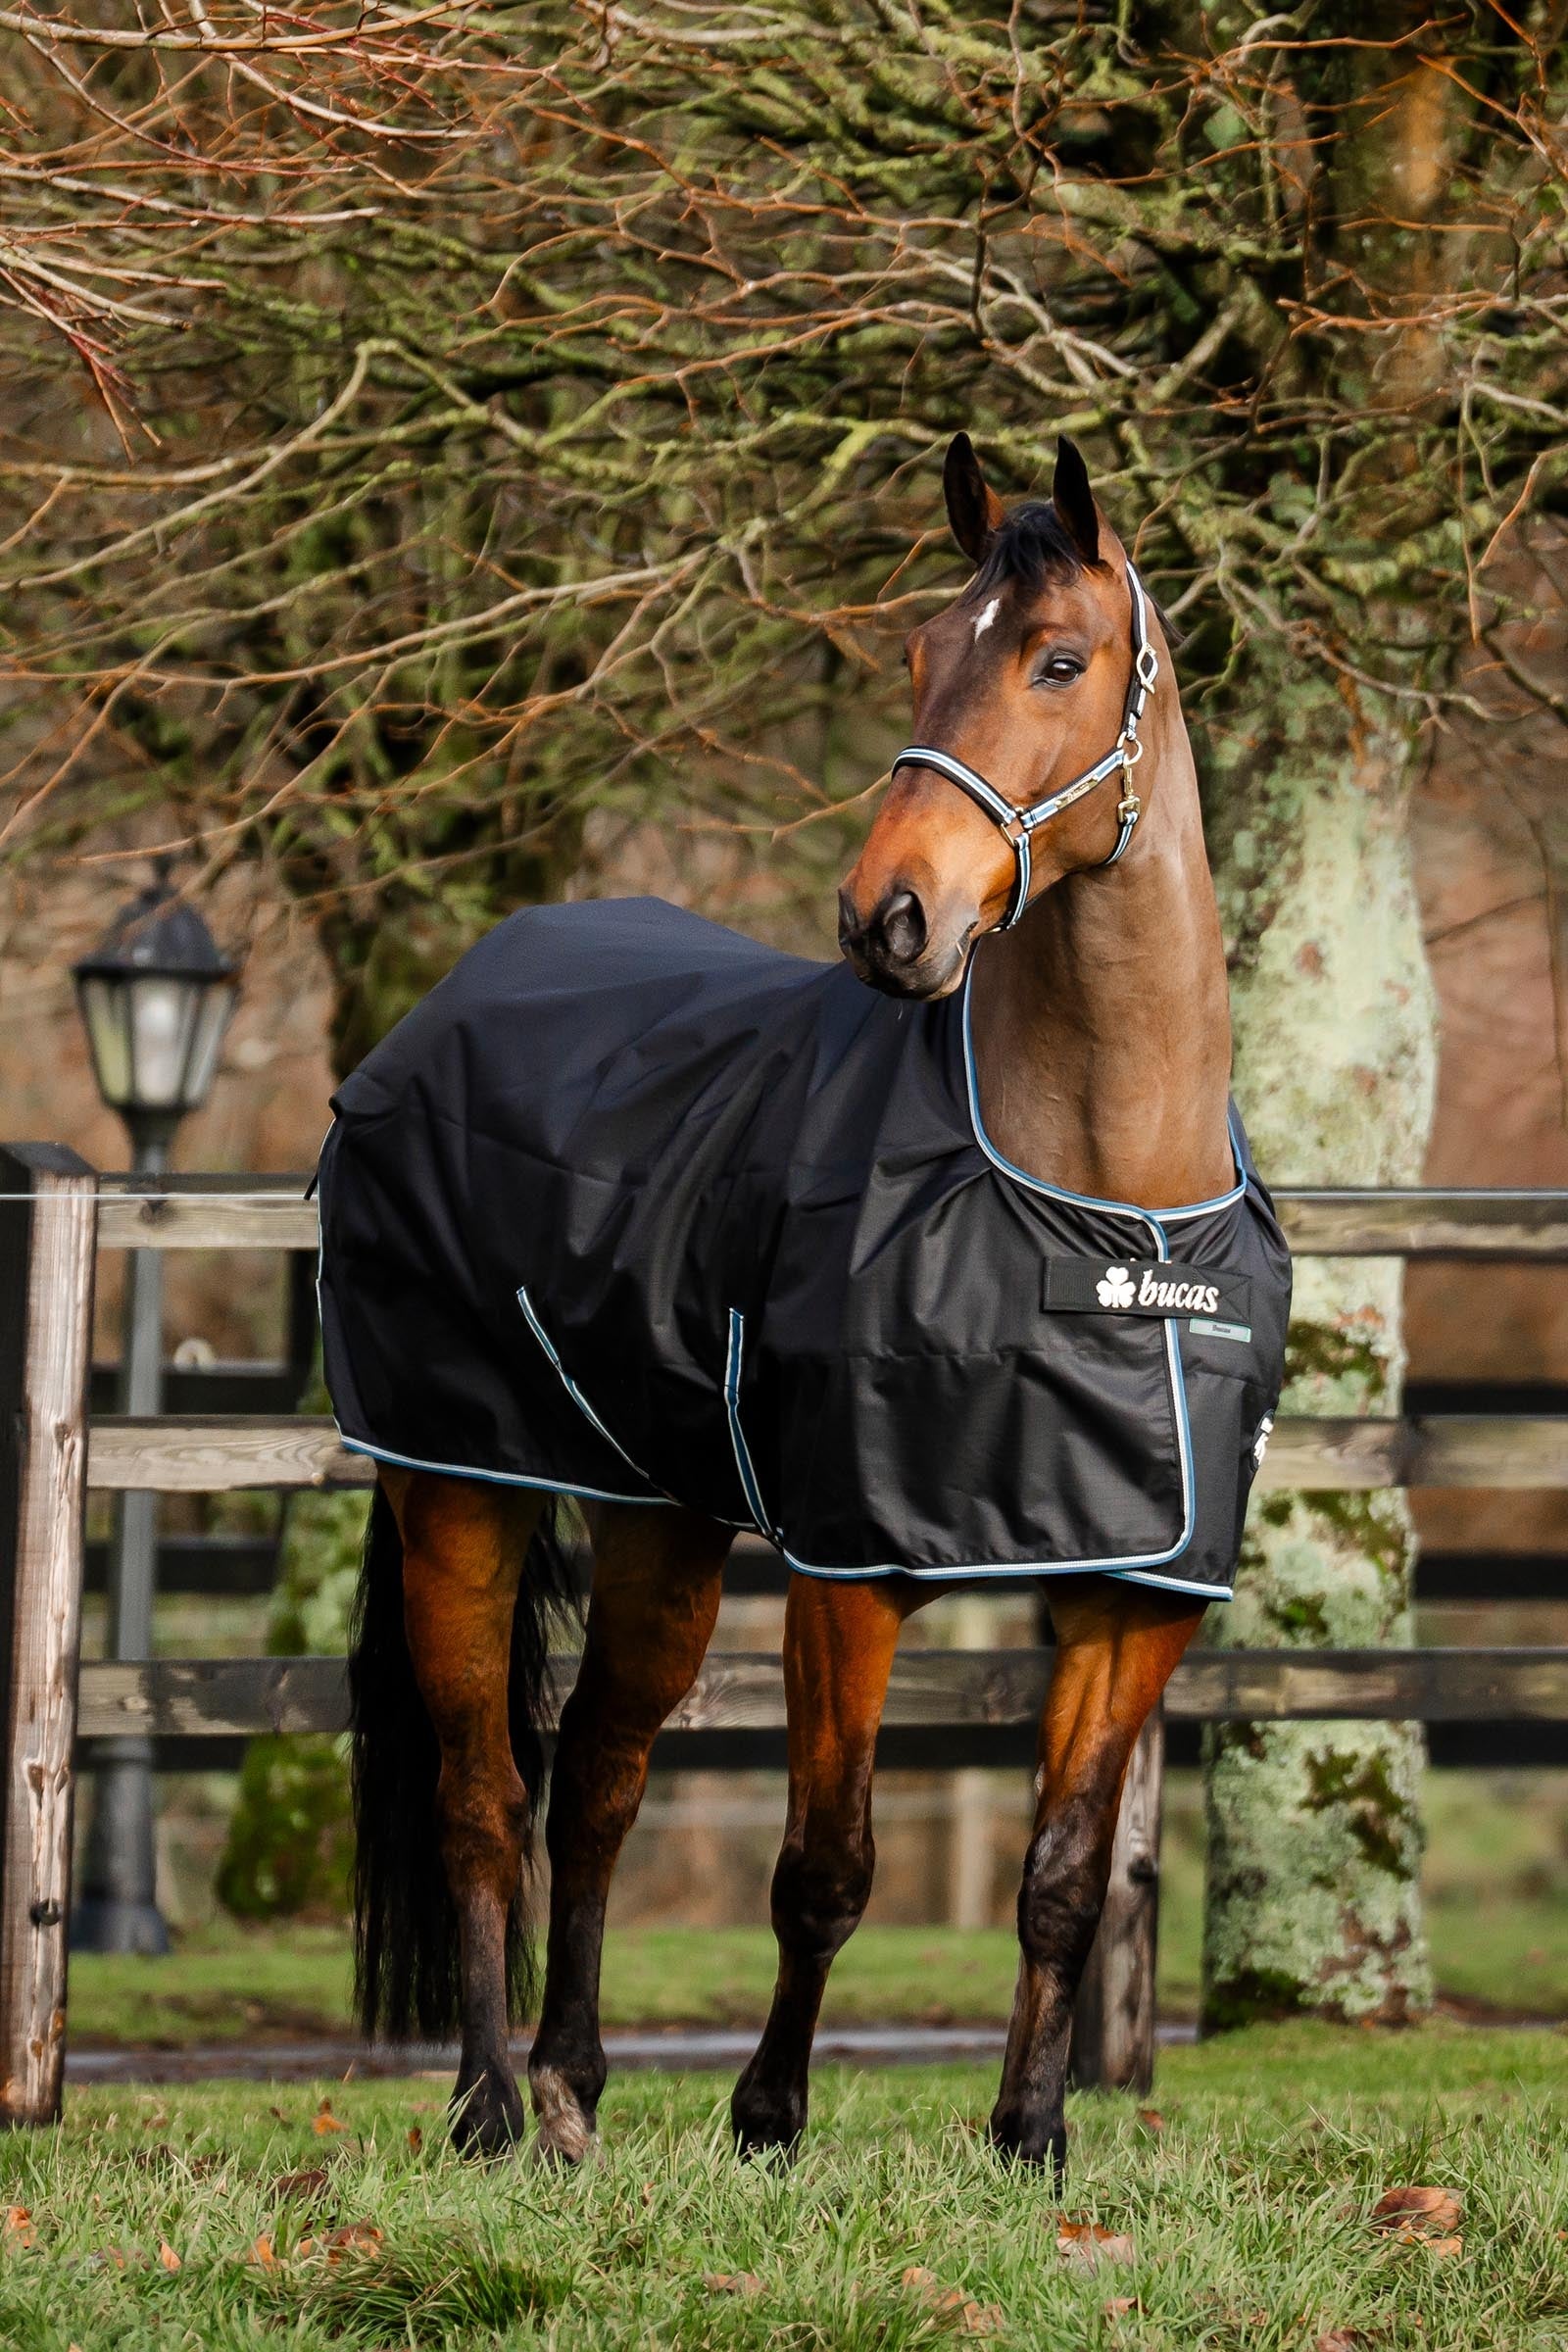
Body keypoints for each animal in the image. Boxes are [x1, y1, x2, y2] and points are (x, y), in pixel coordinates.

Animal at [320, 432, 1288, 2179]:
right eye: (917, 653)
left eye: (1057, 660)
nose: (885, 919)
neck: (1107, 1210)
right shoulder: (855, 1571)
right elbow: (825, 1866)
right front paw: (769, 2120)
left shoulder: (1136, 1596)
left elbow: (1062, 1877)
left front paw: (1030, 2139)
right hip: (456, 1490)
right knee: (483, 1790)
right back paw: (489, 2108)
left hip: (663, 1522)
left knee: (600, 1775)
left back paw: (570, 2093)